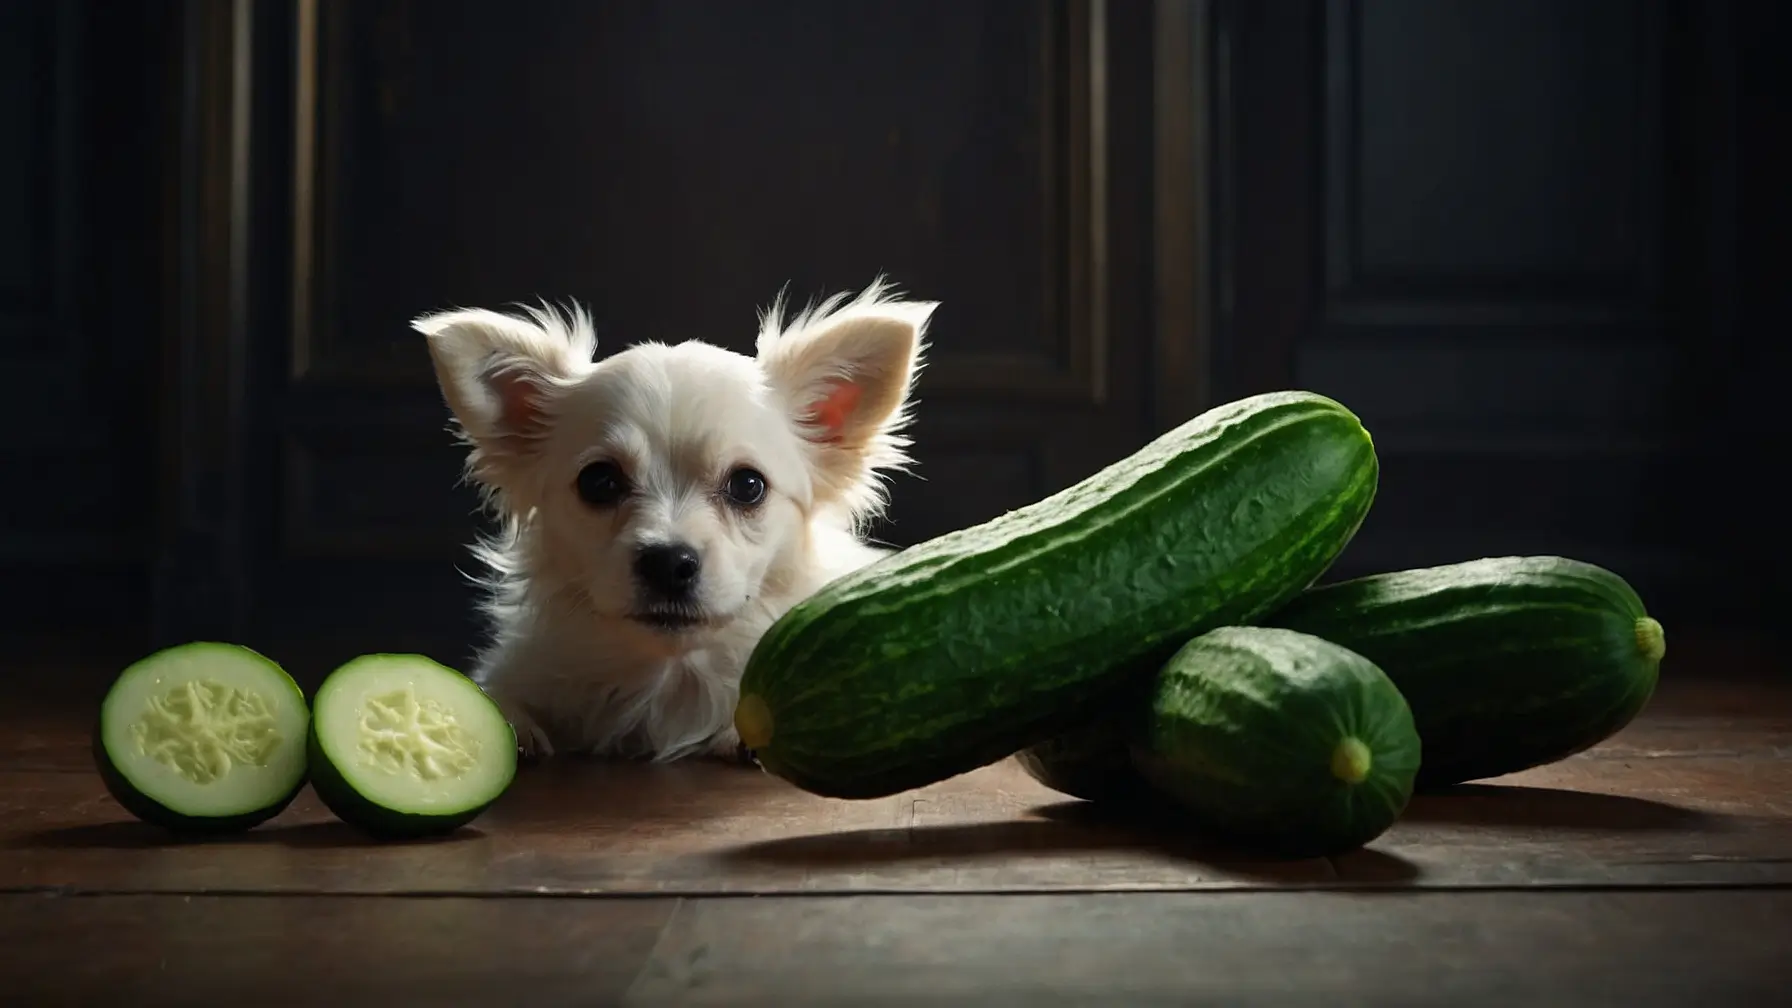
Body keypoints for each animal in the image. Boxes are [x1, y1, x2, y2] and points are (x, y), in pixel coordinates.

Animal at [410, 276, 931, 760]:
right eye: (599, 482)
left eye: (748, 485)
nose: (667, 561)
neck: (670, 677)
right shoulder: (517, 667)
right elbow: (497, 692)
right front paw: (510, 727)